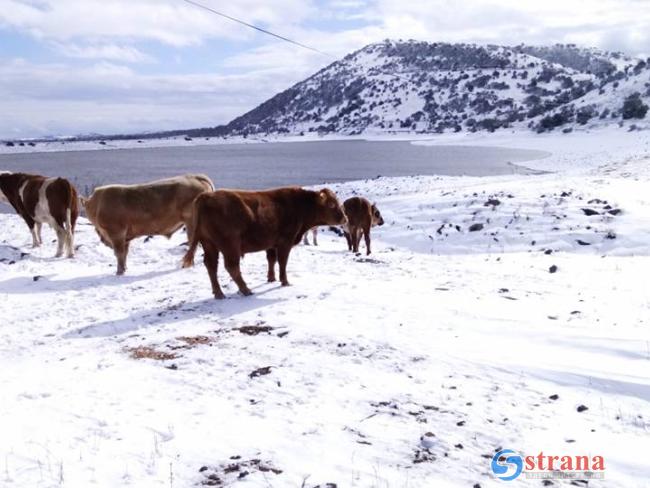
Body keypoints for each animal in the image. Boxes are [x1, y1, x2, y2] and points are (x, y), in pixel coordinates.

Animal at [80, 174, 213, 274]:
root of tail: (194, 176)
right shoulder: (125, 237)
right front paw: (124, 269)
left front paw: (119, 272)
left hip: (191, 223)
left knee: (193, 244)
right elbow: (125, 253)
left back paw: (187, 264)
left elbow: (119, 253)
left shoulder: (117, 233)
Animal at [180, 187, 346, 300]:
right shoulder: (285, 241)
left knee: (211, 266)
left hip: (209, 244)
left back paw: (219, 293)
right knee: (231, 266)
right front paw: (285, 281)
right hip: (230, 245)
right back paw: (245, 290)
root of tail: (206, 196)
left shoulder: (271, 243)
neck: (300, 206)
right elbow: (282, 262)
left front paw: (271, 278)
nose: (345, 219)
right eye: (331, 205)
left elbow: (271, 260)